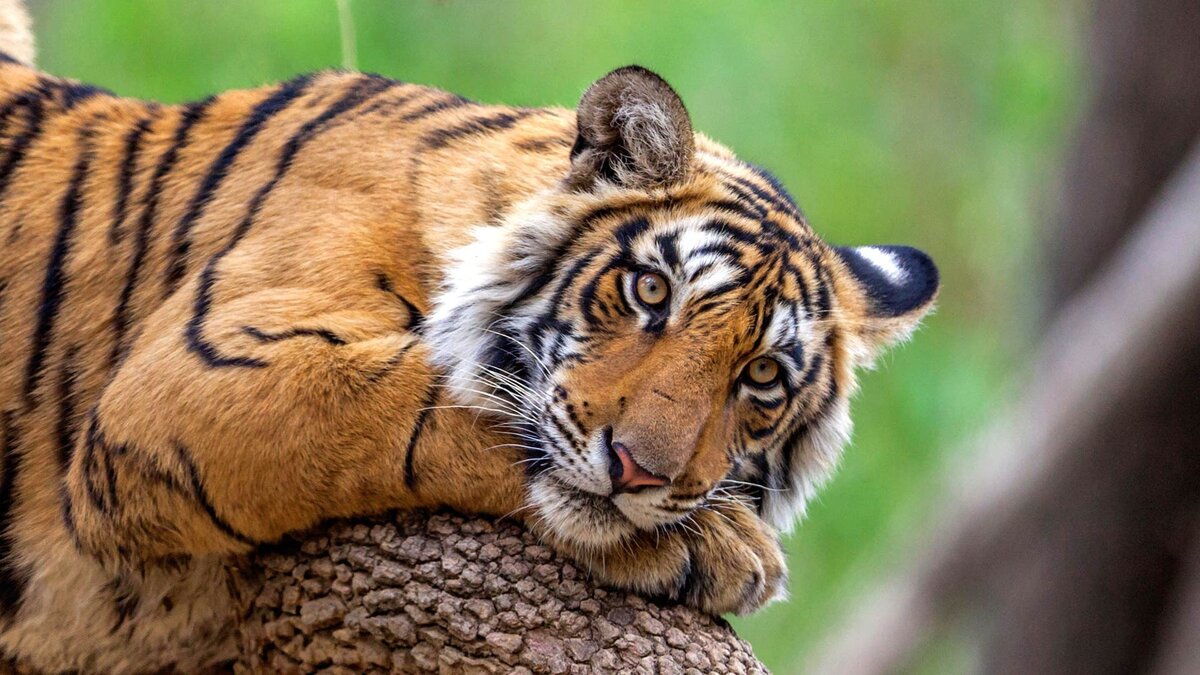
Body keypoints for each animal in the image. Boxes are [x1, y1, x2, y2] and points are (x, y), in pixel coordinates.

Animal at [0, 2, 939, 672]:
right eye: (650, 290)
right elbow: (433, 406)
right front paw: (725, 546)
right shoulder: (185, 381)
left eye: (763, 377)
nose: (640, 471)